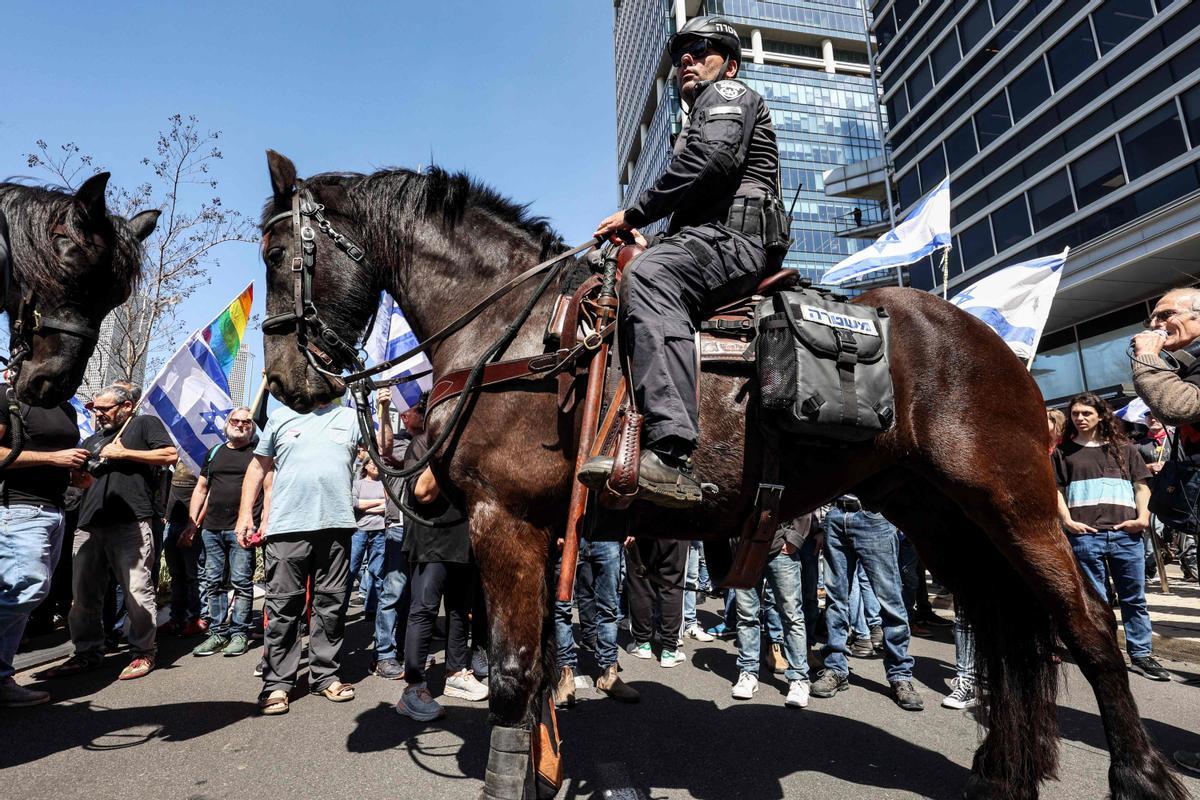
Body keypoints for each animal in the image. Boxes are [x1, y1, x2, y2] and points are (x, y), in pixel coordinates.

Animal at [258, 154, 1185, 800]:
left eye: (272, 252)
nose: (285, 384)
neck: (511, 331)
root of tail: (991, 344)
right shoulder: (542, 532)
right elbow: (541, 673)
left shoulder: (505, 519)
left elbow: (516, 679)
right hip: (941, 517)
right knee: (1002, 629)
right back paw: (1000, 768)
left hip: (1018, 503)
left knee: (1091, 626)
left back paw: (1141, 775)